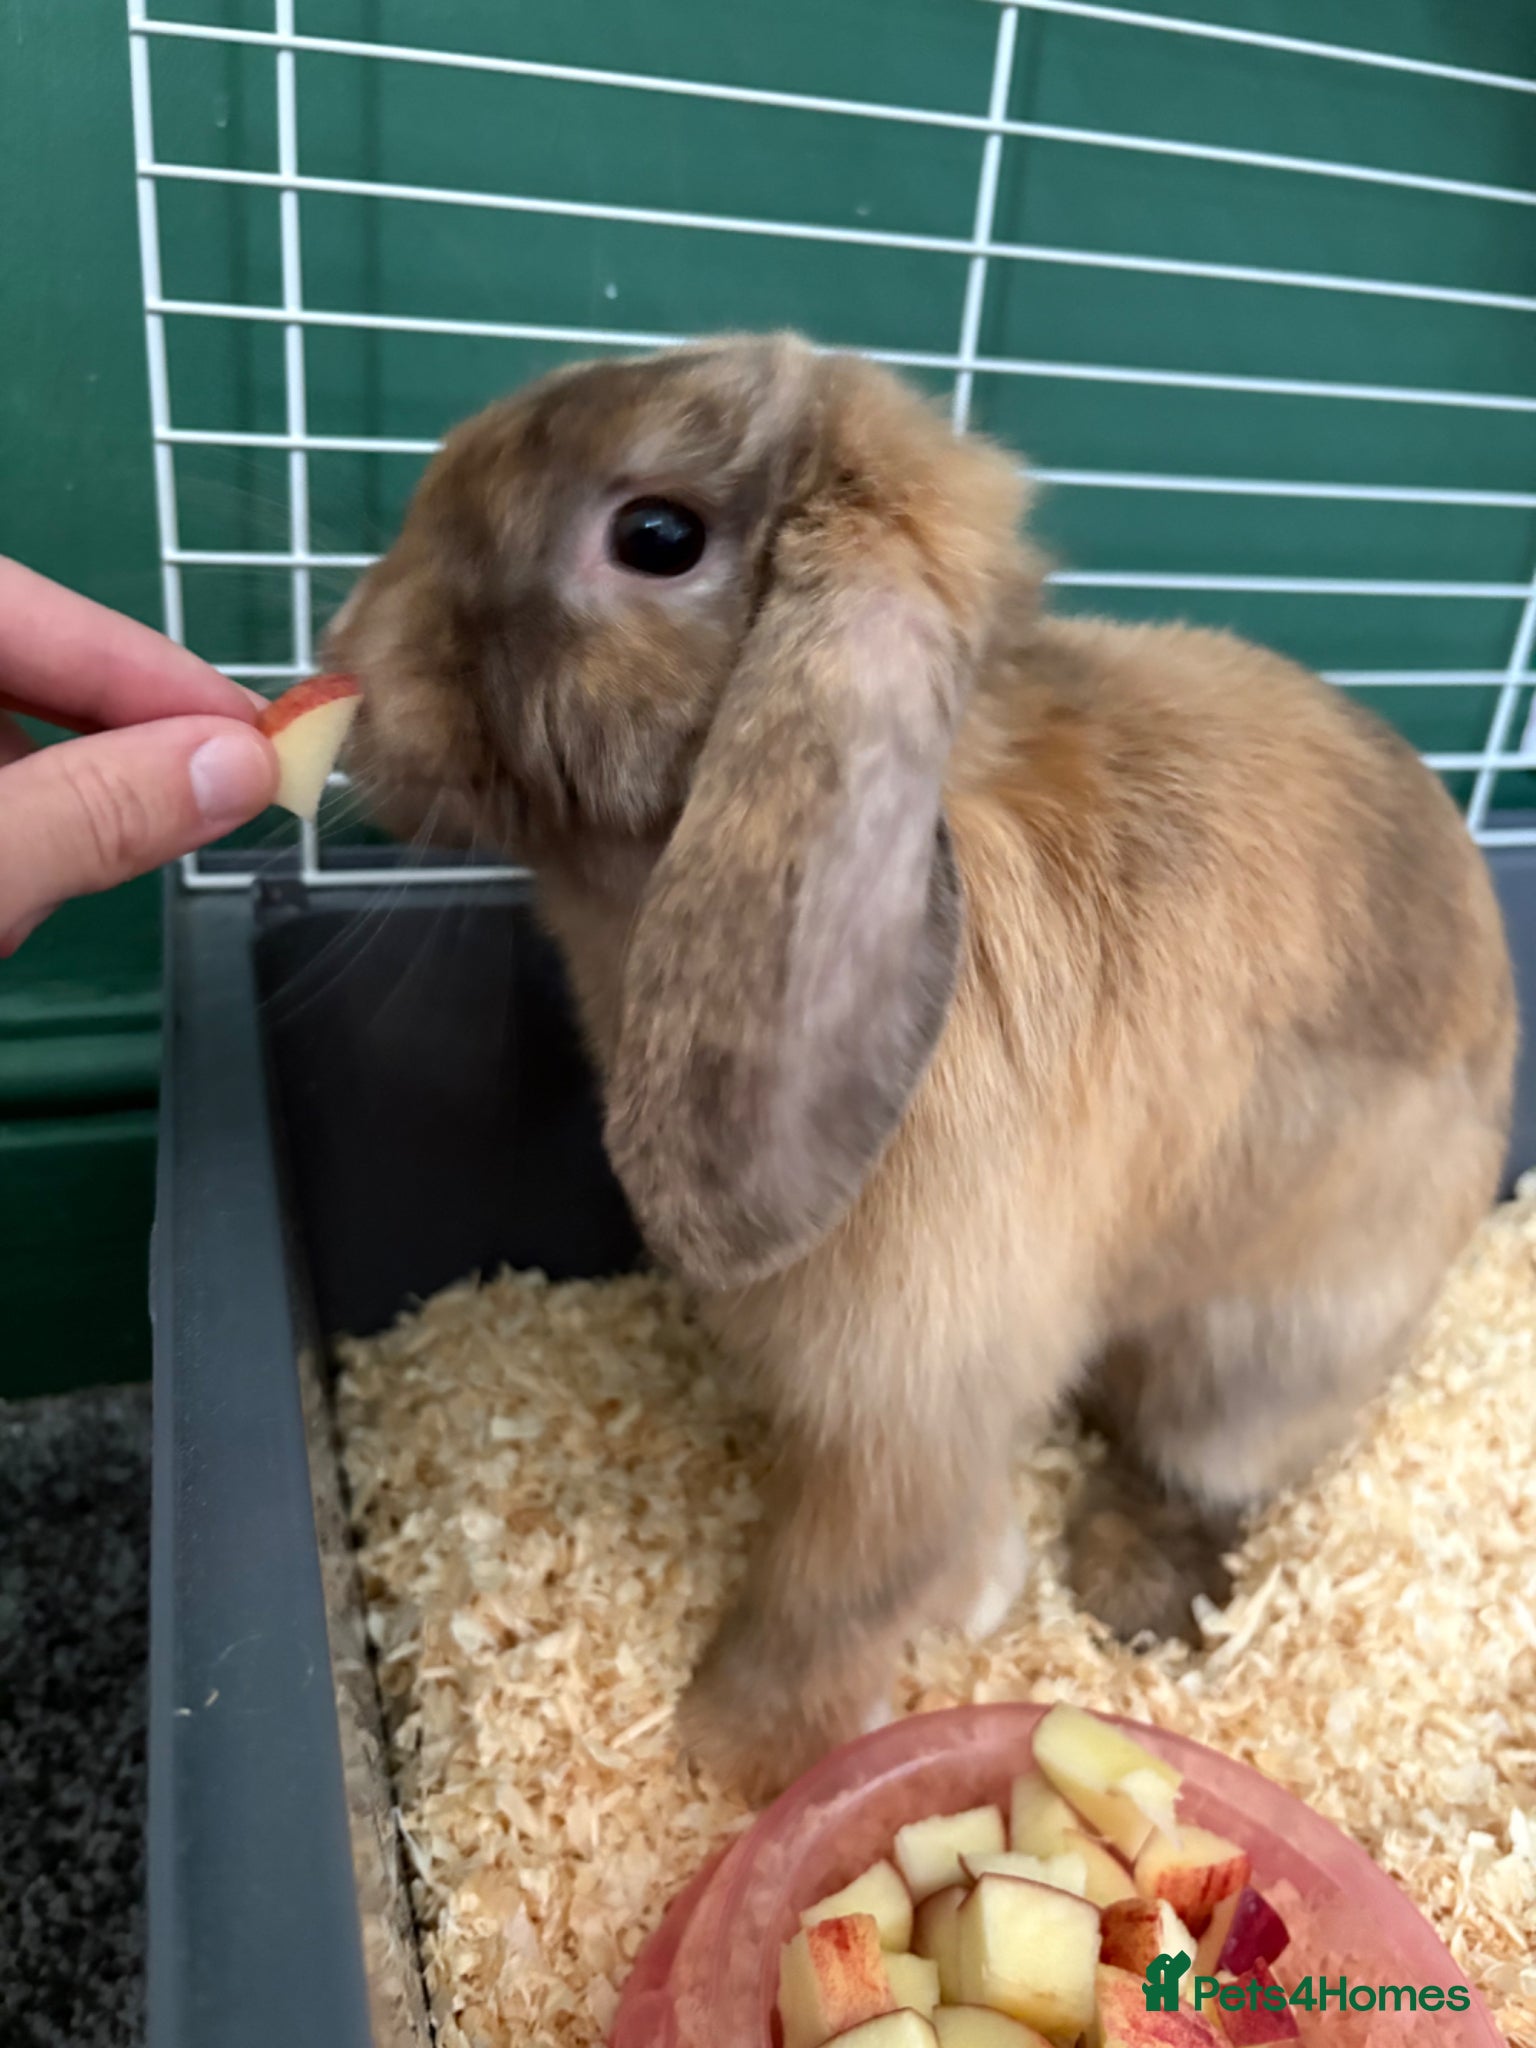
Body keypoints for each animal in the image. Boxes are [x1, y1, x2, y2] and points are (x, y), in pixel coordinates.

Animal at [329, 332, 1517, 1804]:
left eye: (657, 536)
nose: (350, 661)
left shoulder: (912, 1390)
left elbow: (839, 1579)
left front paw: (736, 1749)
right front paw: (977, 1593)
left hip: (1272, 1340)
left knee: (1206, 1463)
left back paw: (1130, 1586)